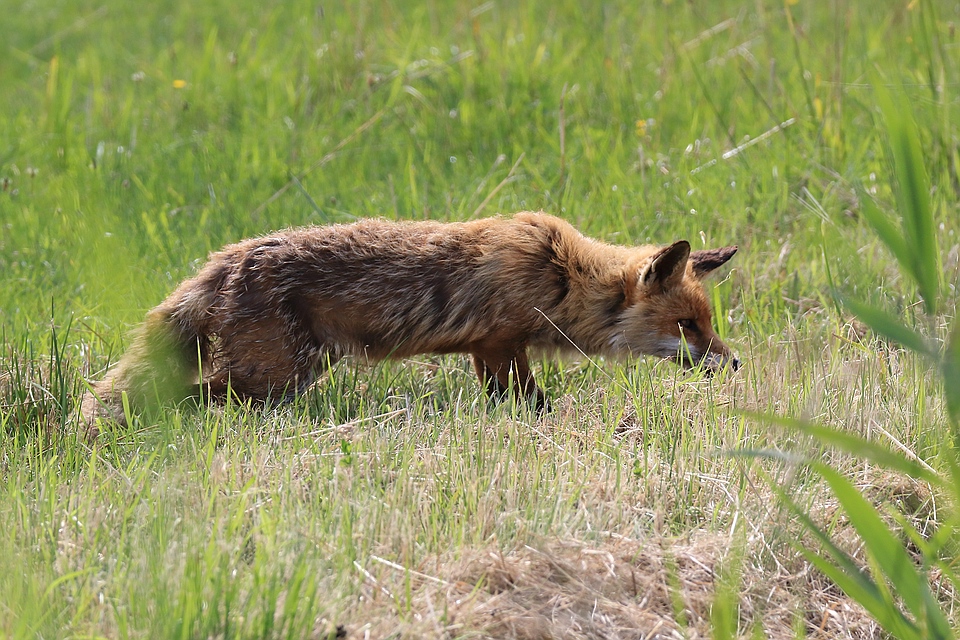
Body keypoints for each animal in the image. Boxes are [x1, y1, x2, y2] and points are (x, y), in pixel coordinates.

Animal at [80, 212, 744, 428]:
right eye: (688, 327)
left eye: (706, 324)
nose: (734, 361)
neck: (563, 275)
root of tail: (233, 254)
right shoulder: (501, 343)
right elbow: (532, 404)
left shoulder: (489, 350)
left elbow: (520, 402)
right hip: (272, 379)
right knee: (183, 396)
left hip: (278, 376)